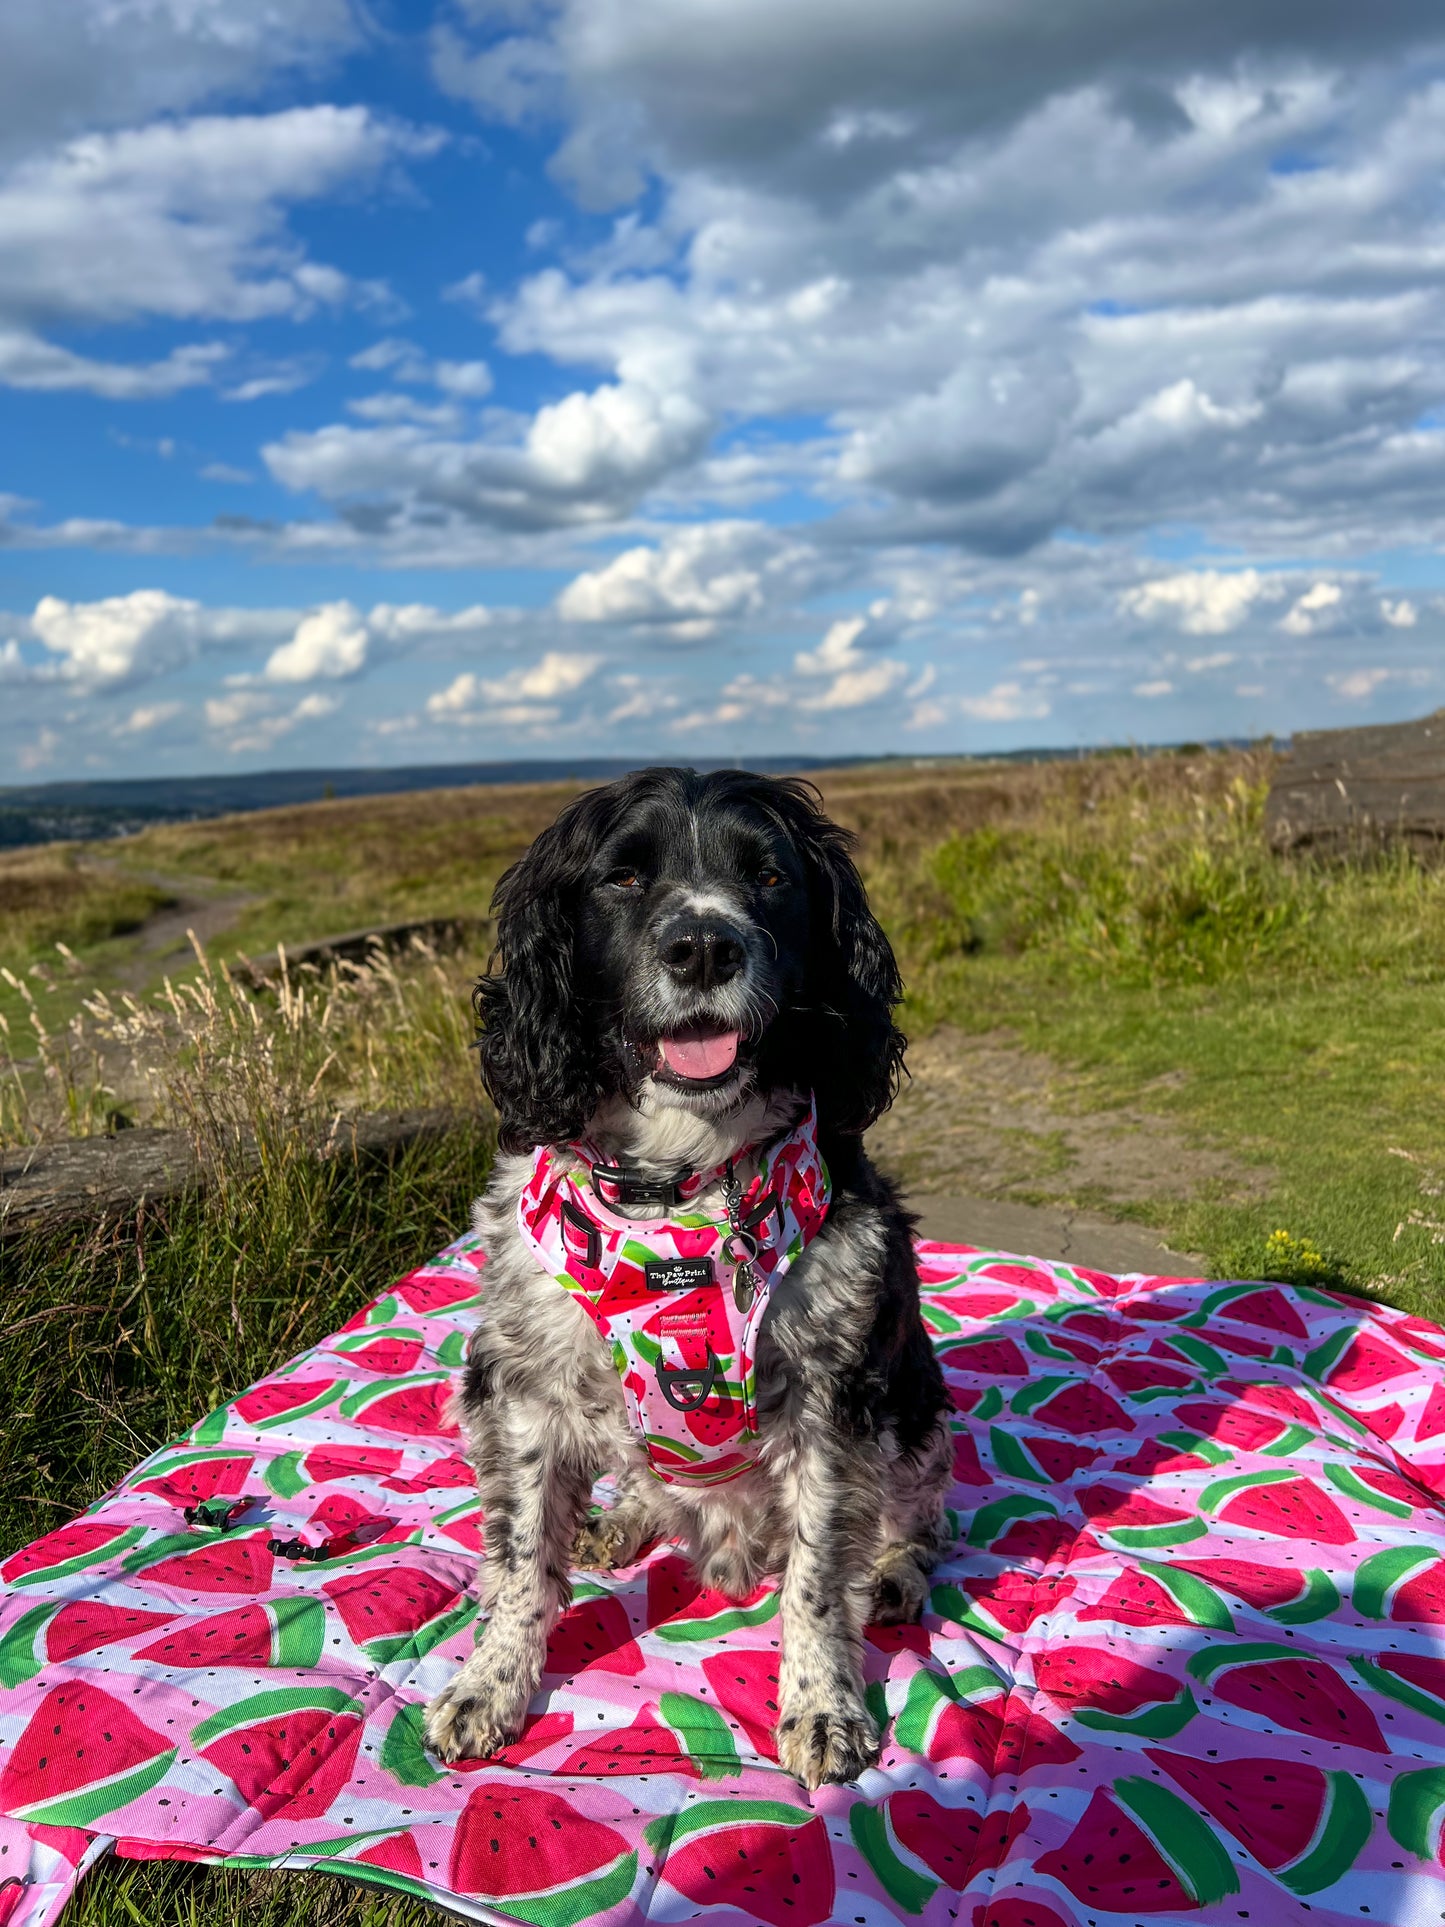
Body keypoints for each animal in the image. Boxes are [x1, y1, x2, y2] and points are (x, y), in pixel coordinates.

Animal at [423, 766, 955, 1788]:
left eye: (771, 876)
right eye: (623, 876)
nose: (703, 943)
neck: (677, 1187)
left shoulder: (838, 1398)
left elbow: (817, 1579)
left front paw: (822, 1706)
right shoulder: (522, 1385)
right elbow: (518, 1559)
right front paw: (491, 1686)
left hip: (914, 1404)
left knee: (917, 1516)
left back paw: (893, 1574)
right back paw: (621, 1518)